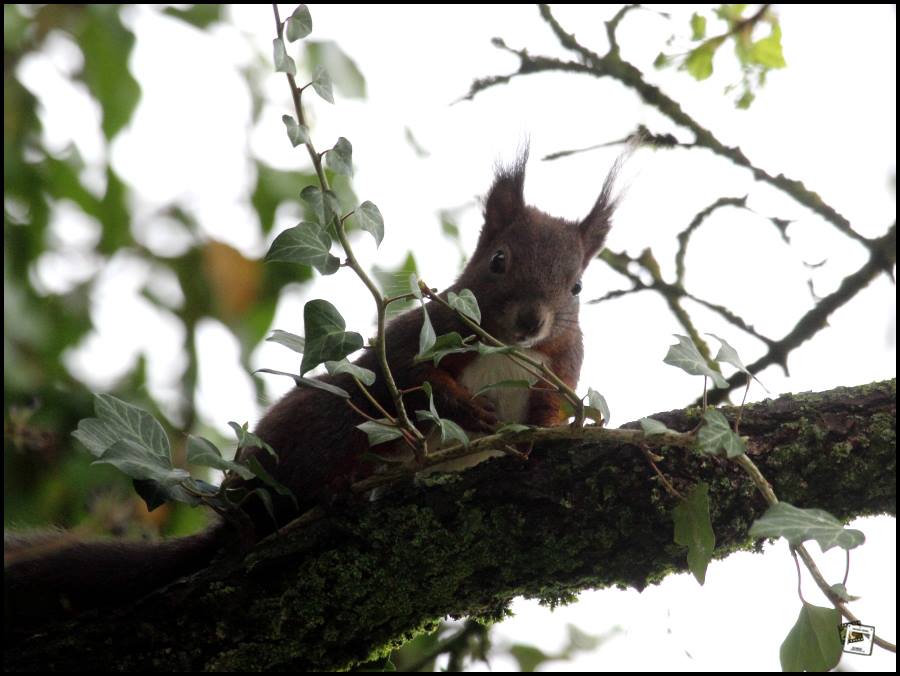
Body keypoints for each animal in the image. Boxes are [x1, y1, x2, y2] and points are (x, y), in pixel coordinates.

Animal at [5, 149, 624, 628]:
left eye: (577, 286)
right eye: (498, 261)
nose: (531, 322)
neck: (506, 350)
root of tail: (234, 511)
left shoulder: (560, 368)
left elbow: (552, 409)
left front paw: (540, 432)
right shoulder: (415, 343)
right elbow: (417, 384)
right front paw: (473, 413)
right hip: (325, 420)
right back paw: (338, 488)